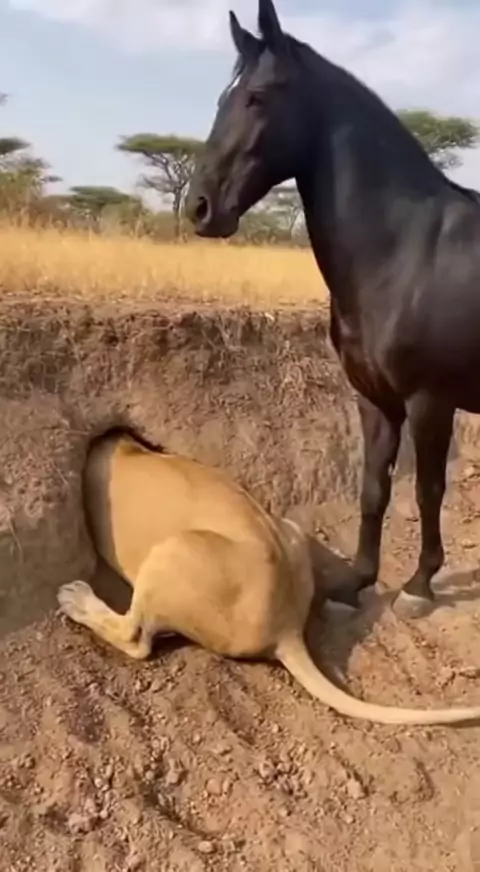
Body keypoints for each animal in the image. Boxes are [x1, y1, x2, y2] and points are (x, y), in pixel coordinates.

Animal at [186, 0, 480, 621]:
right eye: (224, 98)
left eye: (258, 97)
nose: (199, 207)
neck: (407, 251)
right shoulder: (374, 399)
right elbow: (373, 488)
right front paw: (356, 584)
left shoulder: (430, 401)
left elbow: (428, 490)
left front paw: (419, 586)